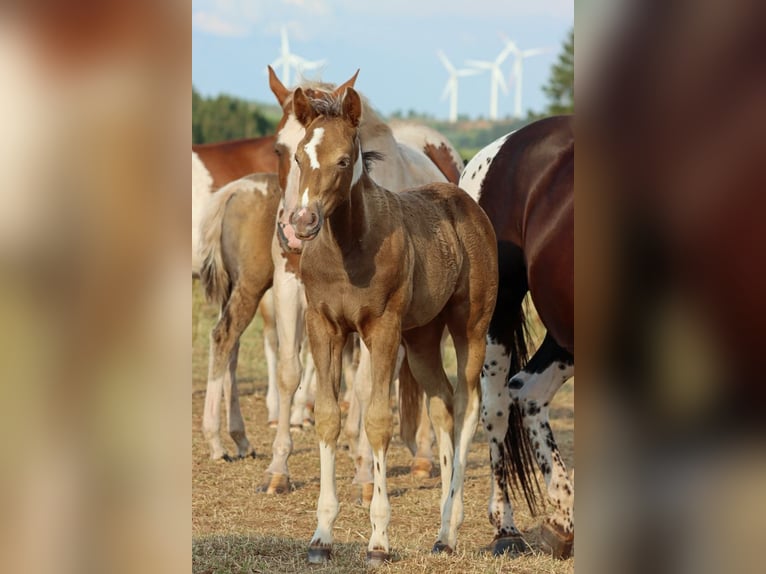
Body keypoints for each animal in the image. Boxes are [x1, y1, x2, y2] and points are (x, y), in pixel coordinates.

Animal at [261, 66, 462, 499]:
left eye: (342, 160)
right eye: (281, 151)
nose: (294, 231)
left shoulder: (379, 314)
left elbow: (370, 388)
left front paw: (369, 475)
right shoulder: (291, 288)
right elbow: (289, 373)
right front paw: (278, 468)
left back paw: (420, 457)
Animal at [288, 85, 498, 565]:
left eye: (343, 160)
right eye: (298, 156)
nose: (303, 222)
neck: (347, 249)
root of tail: (465, 201)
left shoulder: (381, 330)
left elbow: (378, 420)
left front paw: (379, 541)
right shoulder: (323, 327)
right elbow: (328, 417)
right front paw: (321, 537)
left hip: (470, 327)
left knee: (467, 404)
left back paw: (450, 530)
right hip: (421, 337)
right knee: (442, 404)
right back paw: (442, 526)